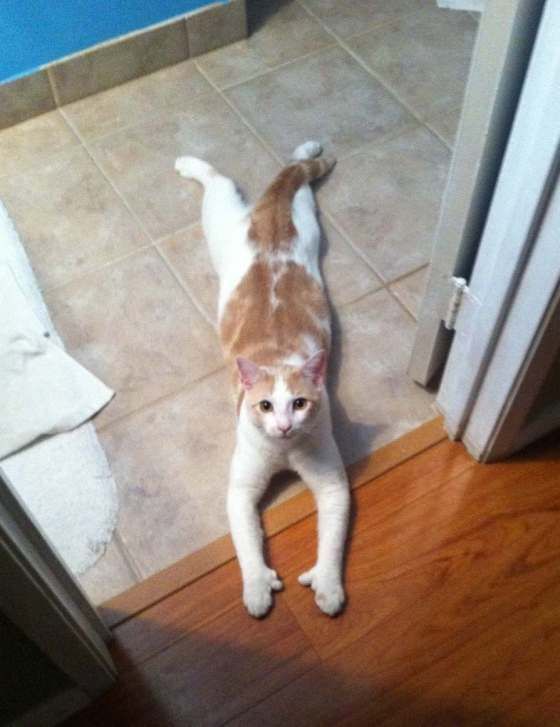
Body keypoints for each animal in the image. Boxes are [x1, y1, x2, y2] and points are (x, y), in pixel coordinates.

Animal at [175, 142, 350, 620]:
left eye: (300, 403)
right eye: (265, 406)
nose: (285, 426)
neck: (285, 452)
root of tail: (269, 212)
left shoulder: (332, 483)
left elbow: (332, 538)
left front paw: (327, 585)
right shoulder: (241, 490)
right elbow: (247, 544)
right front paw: (256, 587)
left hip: (307, 221)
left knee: (295, 173)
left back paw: (309, 149)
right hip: (221, 221)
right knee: (221, 179)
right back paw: (189, 164)